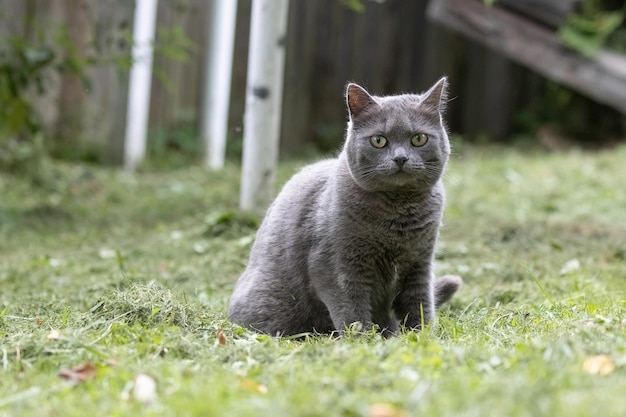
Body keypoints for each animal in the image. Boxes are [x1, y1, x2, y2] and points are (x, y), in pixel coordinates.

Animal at [227, 78, 460, 336]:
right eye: (379, 140)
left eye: (418, 139)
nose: (400, 158)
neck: (397, 212)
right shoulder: (337, 267)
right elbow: (352, 309)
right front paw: (362, 340)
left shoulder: (420, 264)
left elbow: (419, 304)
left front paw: (423, 336)